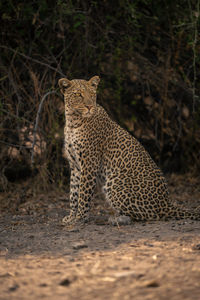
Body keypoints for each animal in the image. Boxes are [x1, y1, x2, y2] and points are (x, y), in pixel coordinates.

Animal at [58, 75, 199, 225]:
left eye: (92, 94)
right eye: (78, 95)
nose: (89, 106)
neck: (73, 121)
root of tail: (166, 203)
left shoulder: (90, 164)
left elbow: (83, 194)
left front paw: (80, 218)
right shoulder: (75, 165)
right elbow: (73, 193)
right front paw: (71, 216)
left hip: (114, 182)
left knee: (151, 215)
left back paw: (117, 219)